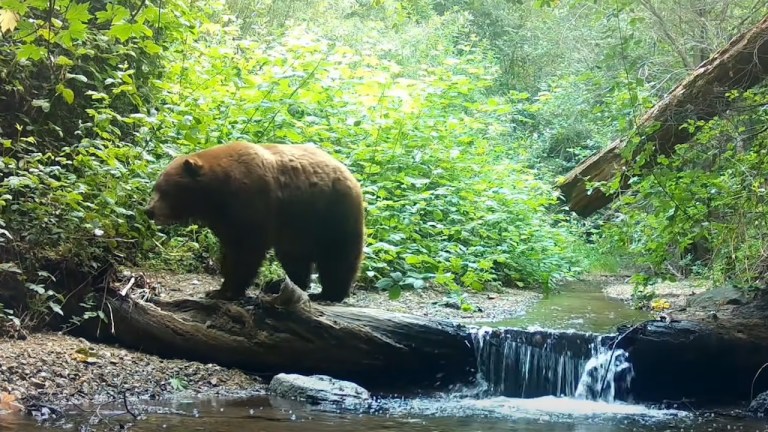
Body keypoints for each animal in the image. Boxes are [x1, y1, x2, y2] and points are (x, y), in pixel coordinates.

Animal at [144, 141, 365, 303]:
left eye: (165, 190)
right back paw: (283, 285)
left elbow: (247, 251)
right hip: (298, 229)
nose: (148, 211)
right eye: (156, 187)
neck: (217, 195)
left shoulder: (253, 204)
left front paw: (228, 291)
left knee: (338, 256)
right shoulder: (225, 220)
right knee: (295, 259)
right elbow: (231, 251)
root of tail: (351, 175)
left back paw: (329, 293)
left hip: (332, 214)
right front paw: (219, 288)